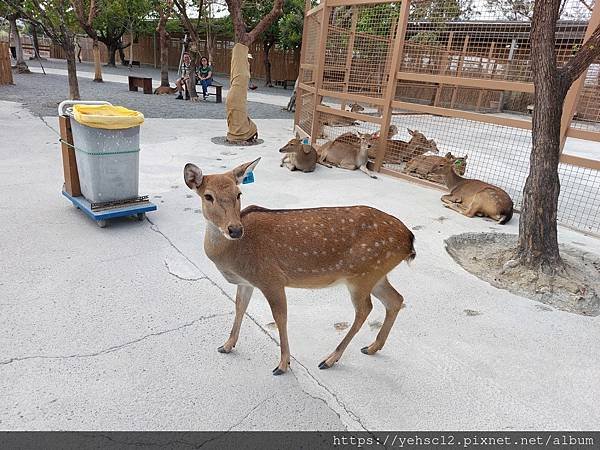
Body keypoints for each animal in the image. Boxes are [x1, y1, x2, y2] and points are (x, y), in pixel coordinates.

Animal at [184, 160, 418, 374]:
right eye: (208, 196)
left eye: (239, 193)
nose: (234, 229)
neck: (233, 255)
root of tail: (409, 239)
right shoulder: (247, 282)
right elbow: (240, 306)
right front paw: (226, 345)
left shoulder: (272, 278)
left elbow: (280, 317)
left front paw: (282, 364)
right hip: (376, 274)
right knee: (395, 299)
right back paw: (372, 347)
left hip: (362, 274)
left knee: (365, 309)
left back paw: (330, 359)